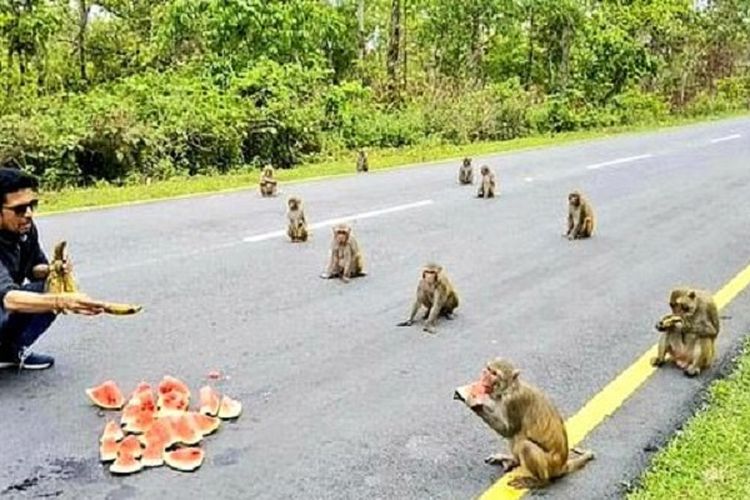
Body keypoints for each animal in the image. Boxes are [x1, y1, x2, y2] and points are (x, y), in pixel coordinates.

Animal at [456, 358, 596, 490]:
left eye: (494, 374)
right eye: (488, 369)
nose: (485, 376)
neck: (509, 389)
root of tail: (562, 465)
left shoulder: (514, 402)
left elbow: (509, 430)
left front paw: (473, 402)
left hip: (550, 465)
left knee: (524, 444)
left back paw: (540, 482)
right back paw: (512, 460)